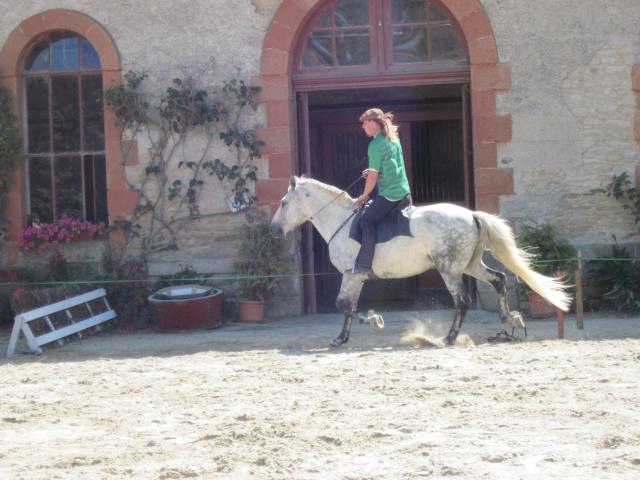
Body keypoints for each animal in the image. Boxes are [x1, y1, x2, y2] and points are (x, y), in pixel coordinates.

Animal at [268, 176, 568, 344]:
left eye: (283, 203)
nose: (273, 230)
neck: (341, 221)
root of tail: (471, 215)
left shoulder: (351, 274)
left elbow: (343, 305)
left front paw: (369, 324)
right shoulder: (356, 277)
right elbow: (349, 306)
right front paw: (345, 336)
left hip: (449, 269)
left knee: (463, 301)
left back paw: (448, 338)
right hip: (469, 265)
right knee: (499, 279)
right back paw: (511, 319)